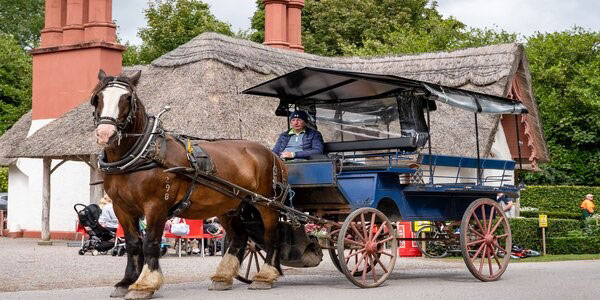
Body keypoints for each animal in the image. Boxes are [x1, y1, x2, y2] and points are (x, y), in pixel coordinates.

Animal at [91, 69, 288, 298]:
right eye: (98, 97)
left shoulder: (156, 206)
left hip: (266, 204)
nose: (105, 133)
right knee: (240, 237)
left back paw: (265, 276)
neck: (141, 155)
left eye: (127, 98)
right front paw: (126, 281)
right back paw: (223, 277)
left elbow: (150, 242)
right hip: (229, 205)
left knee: (271, 235)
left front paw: (145, 284)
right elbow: (132, 244)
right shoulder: (121, 208)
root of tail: (273, 155)